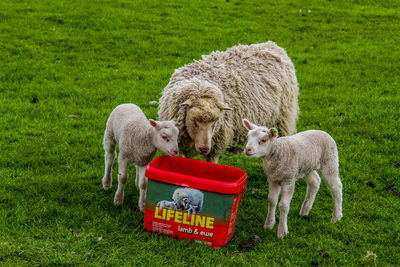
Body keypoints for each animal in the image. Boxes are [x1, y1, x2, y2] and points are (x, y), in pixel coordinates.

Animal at [158, 41, 298, 163]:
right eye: (193, 120)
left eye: (216, 121)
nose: (204, 148)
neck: (201, 86)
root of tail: (273, 46)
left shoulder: (216, 144)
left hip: (282, 118)